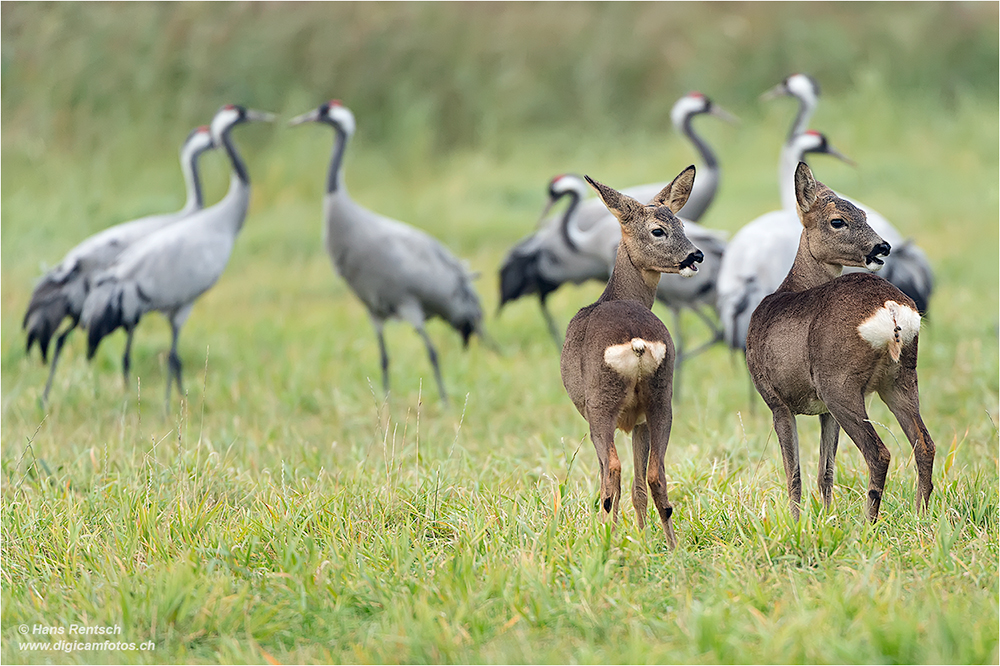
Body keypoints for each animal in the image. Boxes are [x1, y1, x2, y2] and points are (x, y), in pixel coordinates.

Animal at [564, 166, 704, 544]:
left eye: (681, 224)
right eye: (660, 229)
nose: (696, 256)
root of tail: (637, 342)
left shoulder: (597, 413)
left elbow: (611, 474)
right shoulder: (639, 419)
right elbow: (641, 485)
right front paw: (642, 538)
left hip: (601, 403)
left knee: (611, 473)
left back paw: (605, 540)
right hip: (661, 397)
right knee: (656, 474)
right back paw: (671, 546)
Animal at [748, 162, 932, 524]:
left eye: (863, 214)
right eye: (839, 220)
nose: (881, 247)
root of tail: (890, 307)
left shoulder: (776, 399)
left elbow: (794, 472)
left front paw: (796, 523)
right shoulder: (823, 411)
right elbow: (825, 471)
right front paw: (825, 519)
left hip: (839, 381)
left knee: (879, 453)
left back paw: (868, 523)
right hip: (901, 378)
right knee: (924, 444)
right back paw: (922, 516)